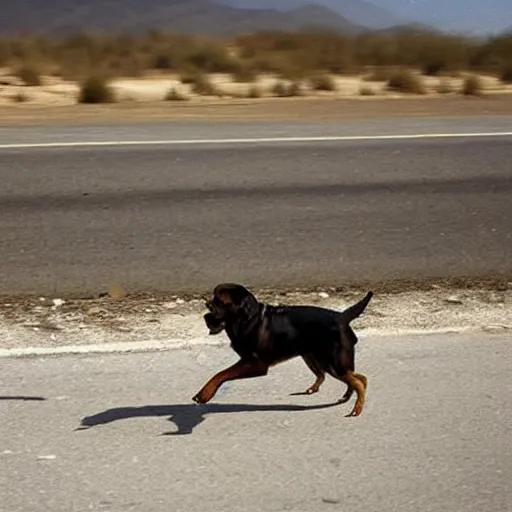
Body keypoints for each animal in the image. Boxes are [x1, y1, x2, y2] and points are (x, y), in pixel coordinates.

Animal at [192, 282, 372, 418]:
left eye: (219, 300)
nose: (207, 303)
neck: (246, 319)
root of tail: (342, 317)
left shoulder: (255, 363)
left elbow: (221, 374)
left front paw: (204, 394)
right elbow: (223, 373)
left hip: (332, 362)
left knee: (359, 381)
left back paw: (356, 409)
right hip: (313, 357)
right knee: (345, 377)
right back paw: (339, 395)